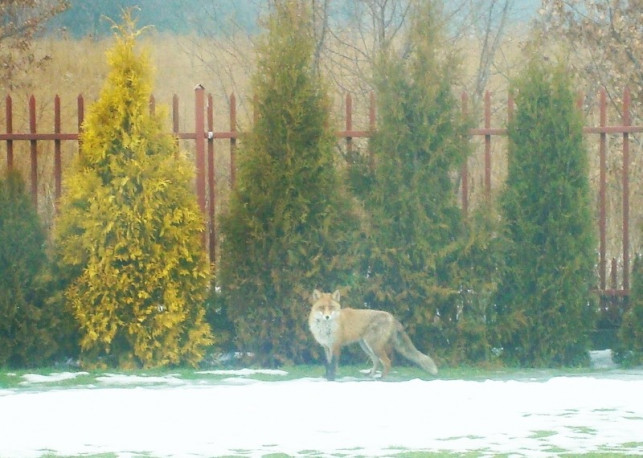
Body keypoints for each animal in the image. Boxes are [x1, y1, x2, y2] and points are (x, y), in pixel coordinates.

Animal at [310, 290, 440, 380]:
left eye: (331, 308)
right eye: (322, 308)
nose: (327, 317)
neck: (326, 328)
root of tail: (391, 316)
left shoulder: (336, 346)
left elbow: (333, 364)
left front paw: (331, 378)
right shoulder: (327, 347)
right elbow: (328, 364)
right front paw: (326, 376)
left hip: (374, 346)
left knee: (387, 362)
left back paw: (382, 378)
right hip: (366, 346)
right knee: (377, 361)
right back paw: (370, 375)